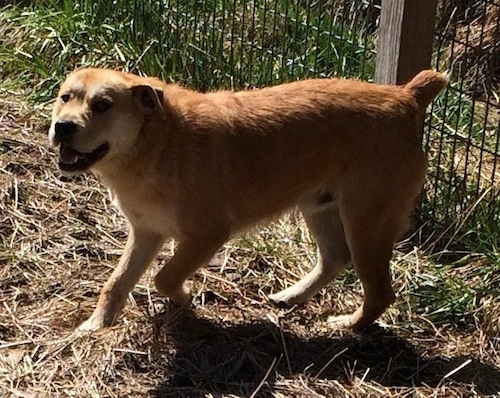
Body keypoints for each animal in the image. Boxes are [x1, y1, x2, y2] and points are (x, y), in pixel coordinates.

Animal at [47, 67, 450, 332]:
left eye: (103, 105)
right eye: (65, 97)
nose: (62, 127)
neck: (158, 142)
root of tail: (405, 96)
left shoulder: (207, 235)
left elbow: (164, 277)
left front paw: (185, 299)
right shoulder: (147, 232)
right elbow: (116, 282)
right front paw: (95, 325)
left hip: (367, 223)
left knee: (379, 292)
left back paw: (347, 326)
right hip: (320, 207)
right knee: (335, 257)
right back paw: (292, 296)